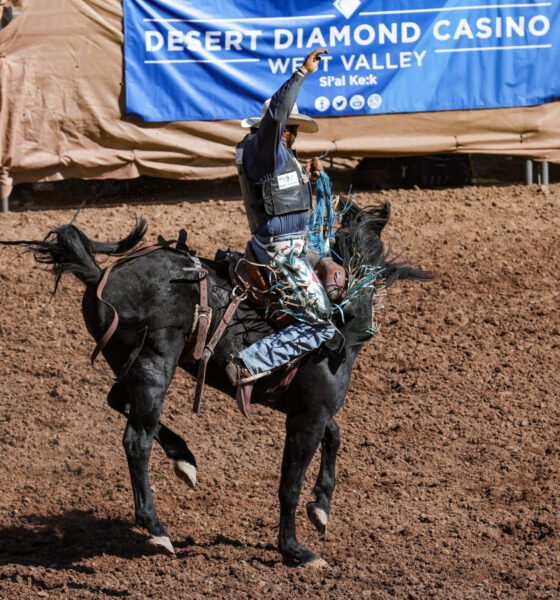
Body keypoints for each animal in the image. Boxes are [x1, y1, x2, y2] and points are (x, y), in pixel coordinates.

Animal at [3, 202, 428, 568]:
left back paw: (184, 460)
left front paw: (321, 507)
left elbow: (335, 435)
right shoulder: (307, 415)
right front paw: (294, 550)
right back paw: (157, 529)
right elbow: (289, 483)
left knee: (118, 401)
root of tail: (99, 276)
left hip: (130, 367)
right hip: (154, 367)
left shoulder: (307, 409)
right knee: (136, 440)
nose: (362, 326)